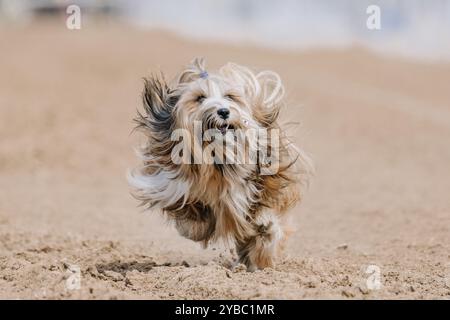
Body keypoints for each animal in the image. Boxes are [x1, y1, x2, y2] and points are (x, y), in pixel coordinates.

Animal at [126, 58, 312, 270]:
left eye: (230, 97)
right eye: (199, 98)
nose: (223, 111)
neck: (220, 161)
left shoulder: (263, 186)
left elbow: (265, 223)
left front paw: (263, 248)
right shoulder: (176, 187)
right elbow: (192, 213)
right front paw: (196, 227)